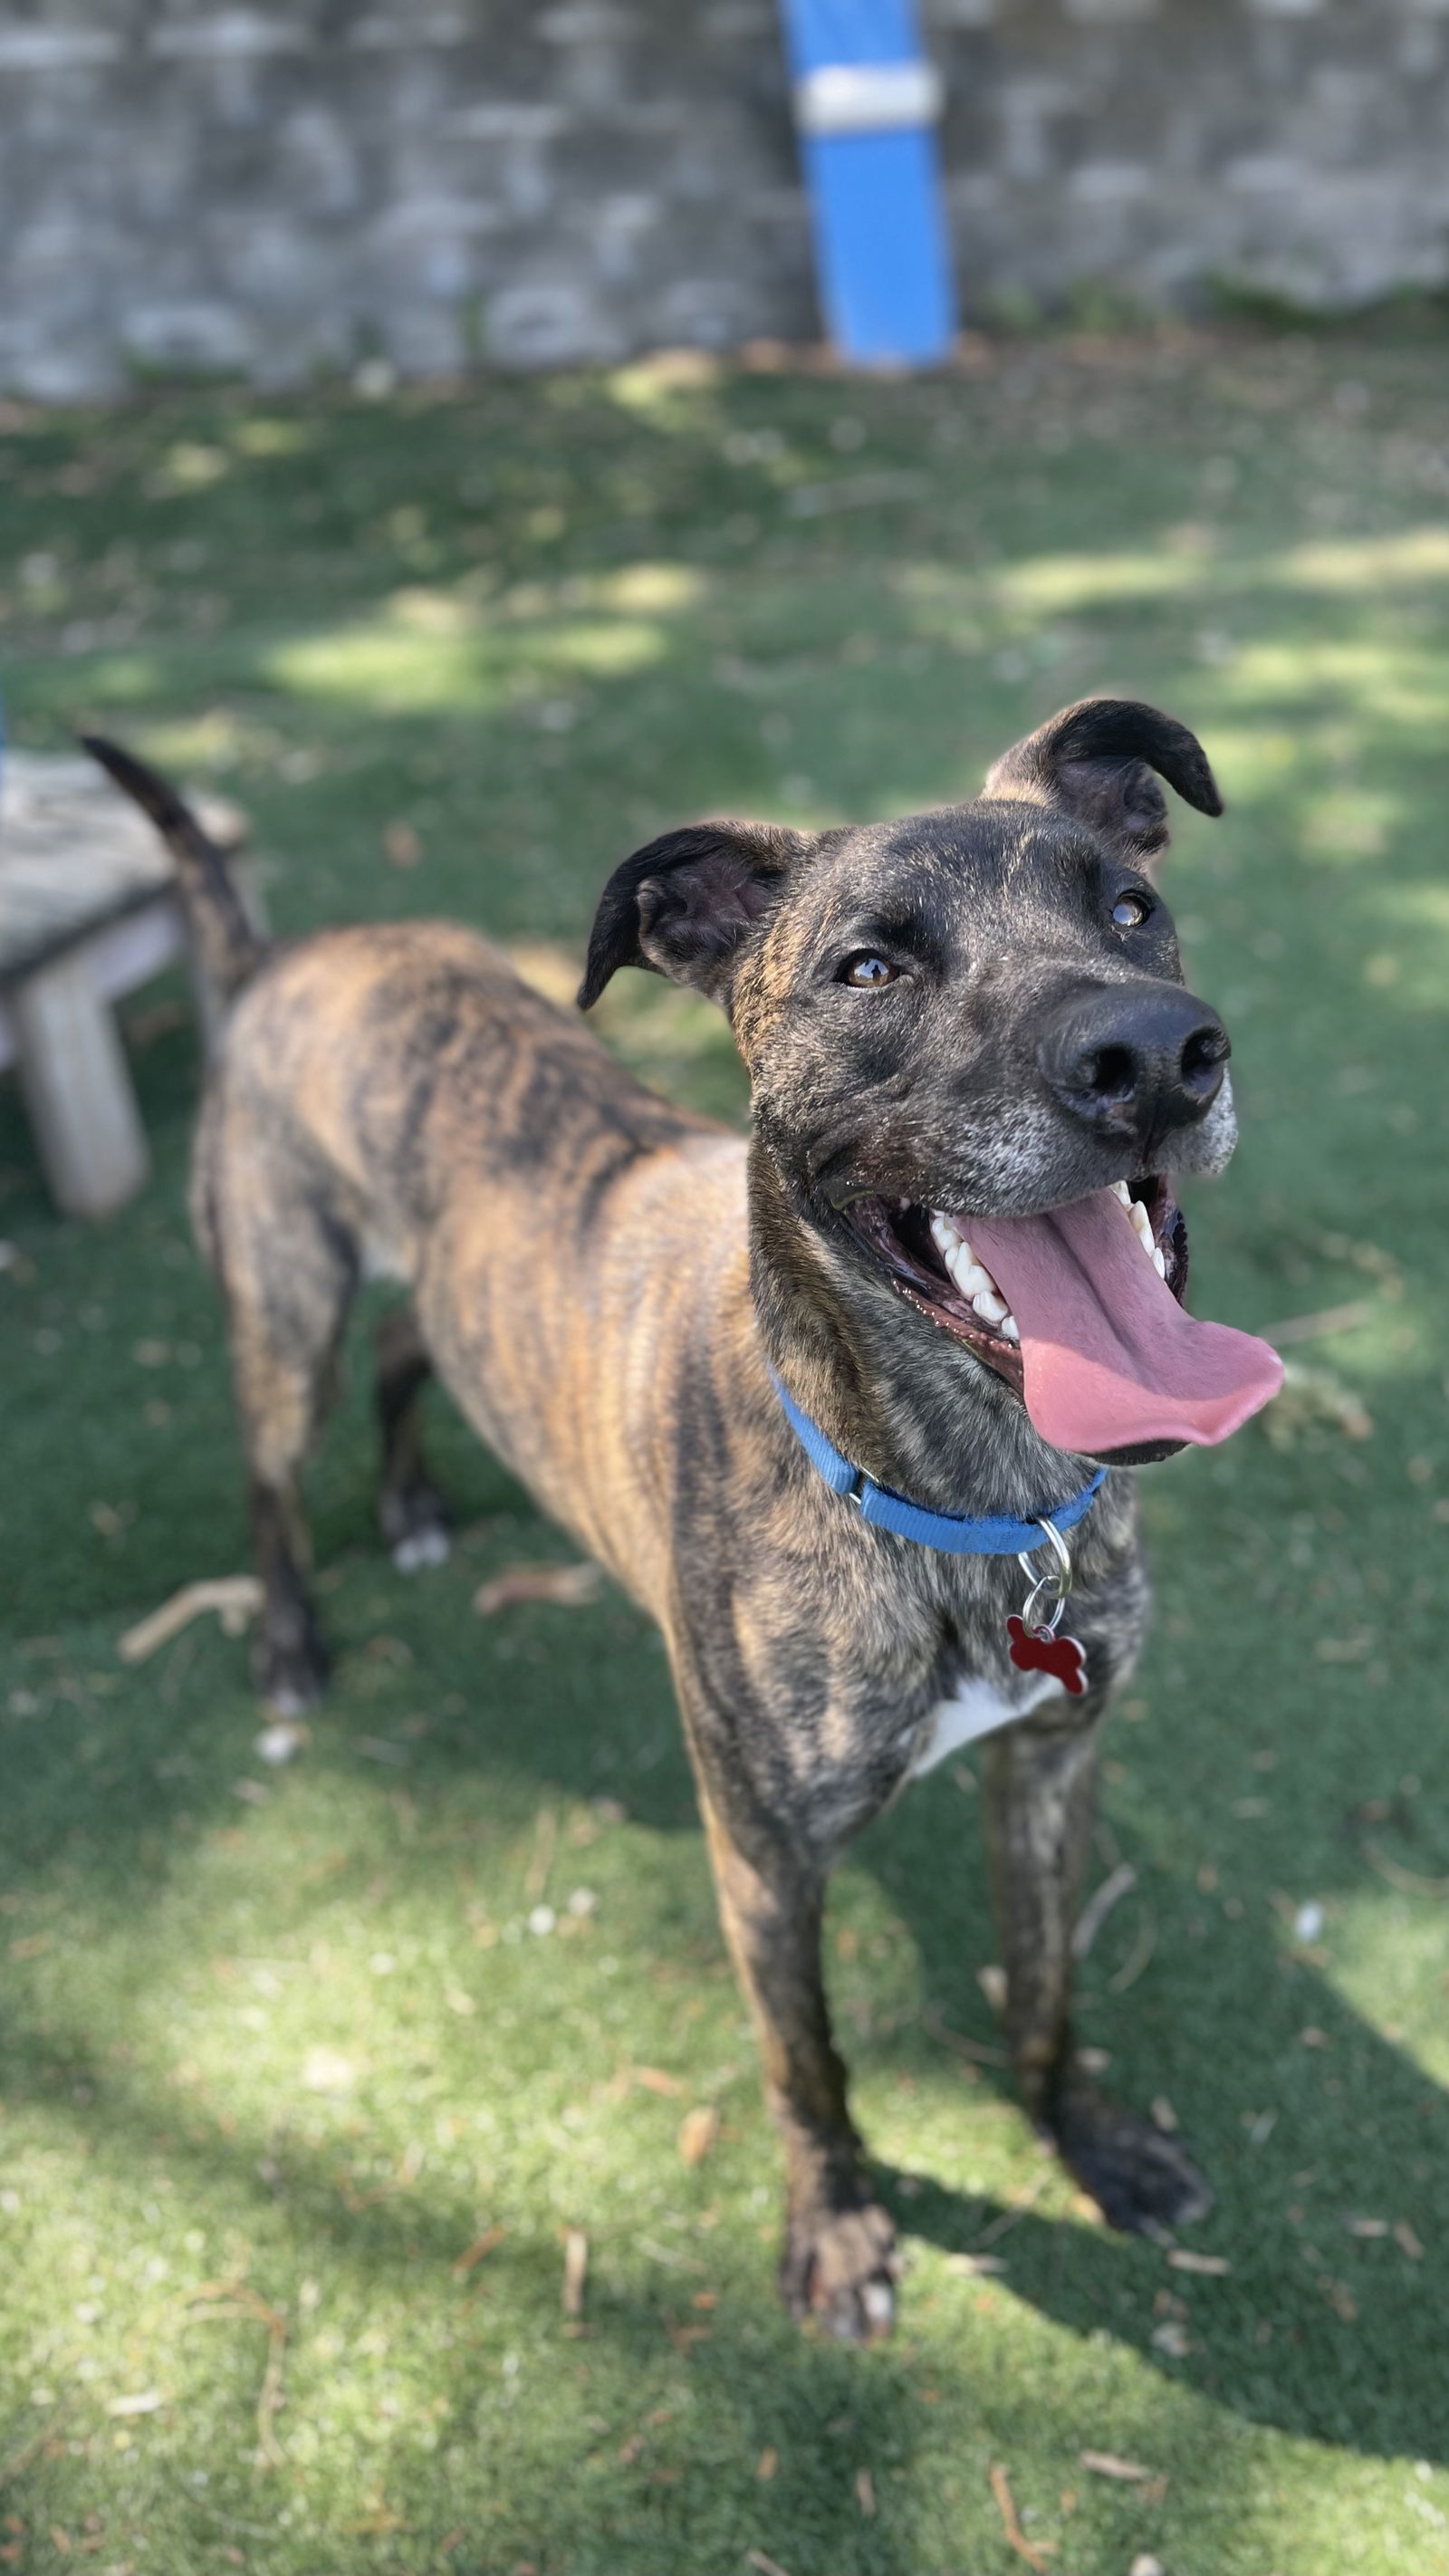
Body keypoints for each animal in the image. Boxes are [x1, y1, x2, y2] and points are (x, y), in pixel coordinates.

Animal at [84, 700, 1251, 2339]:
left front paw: (1087, 2137)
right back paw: (294, 1641)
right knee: (272, 1471)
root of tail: (279, 958)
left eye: (1131, 909)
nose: (1152, 1056)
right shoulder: (763, 1856)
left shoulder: (1053, 1762)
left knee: (410, 1348)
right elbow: (807, 2058)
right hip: (283, 1305)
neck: (964, 1501)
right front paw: (836, 2231)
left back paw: (416, 1502)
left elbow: (1045, 1986)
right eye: (869, 968)